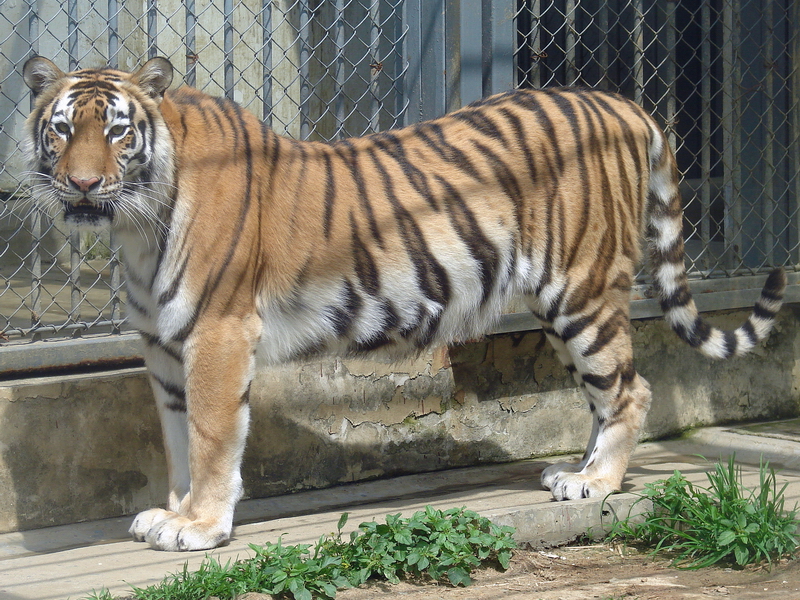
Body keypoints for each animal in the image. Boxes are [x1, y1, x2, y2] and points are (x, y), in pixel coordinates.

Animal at [22, 55, 785, 552]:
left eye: (117, 131)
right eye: (61, 129)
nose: (83, 185)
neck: (135, 229)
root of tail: (622, 103)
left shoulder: (217, 335)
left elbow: (211, 439)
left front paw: (201, 526)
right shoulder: (163, 347)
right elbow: (178, 441)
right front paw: (173, 512)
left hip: (583, 290)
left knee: (631, 388)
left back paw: (594, 484)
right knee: (612, 390)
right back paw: (575, 471)